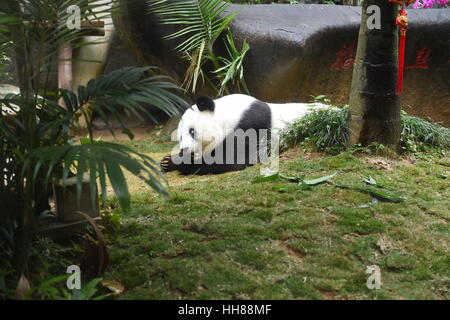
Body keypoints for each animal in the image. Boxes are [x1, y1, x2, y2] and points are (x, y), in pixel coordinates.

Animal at [160, 94, 326, 175]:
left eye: (192, 131)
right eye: (180, 137)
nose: (185, 149)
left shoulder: (249, 123)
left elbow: (231, 160)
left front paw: (181, 162)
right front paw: (167, 161)